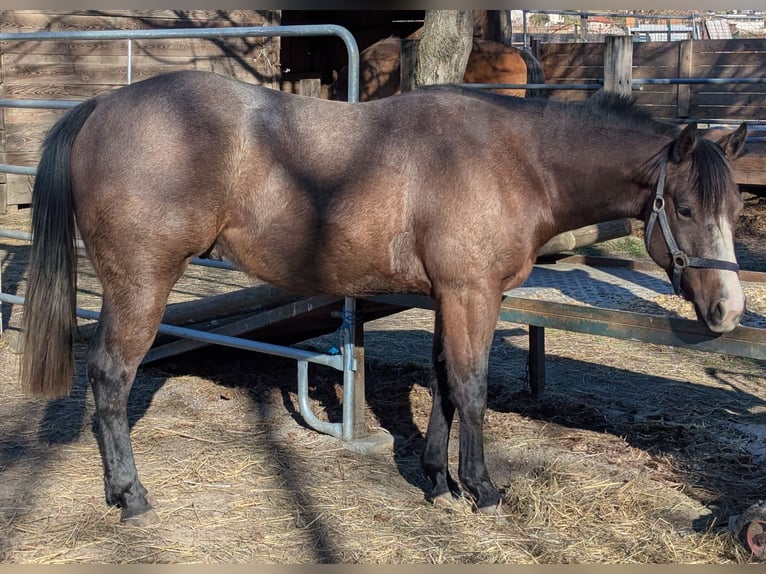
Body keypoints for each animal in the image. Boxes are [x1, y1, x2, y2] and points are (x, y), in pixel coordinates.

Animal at [21, 69, 747, 525]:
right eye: (685, 208)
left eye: (735, 208)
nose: (729, 311)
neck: (512, 160)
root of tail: (102, 106)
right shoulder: (472, 294)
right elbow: (473, 388)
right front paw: (481, 488)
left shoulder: (448, 297)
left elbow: (445, 383)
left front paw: (436, 479)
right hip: (142, 286)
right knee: (111, 378)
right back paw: (130, 494)